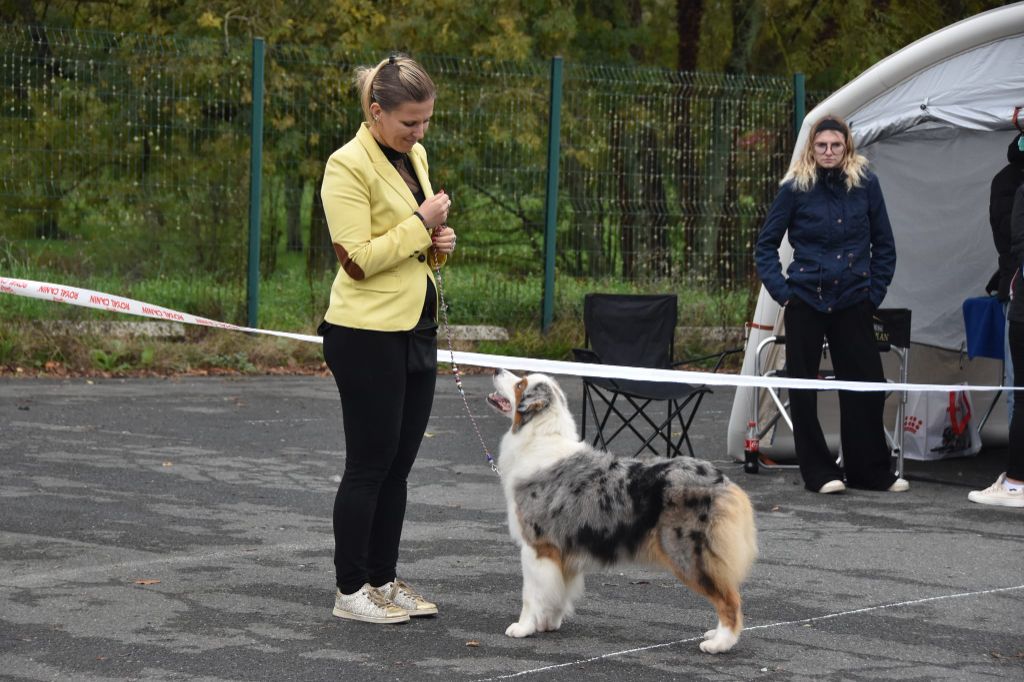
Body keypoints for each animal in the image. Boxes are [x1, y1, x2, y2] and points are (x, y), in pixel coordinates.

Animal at [486, 369, 757, 653]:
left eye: (520, 384)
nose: (496, 369)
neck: (539, 437)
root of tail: (723, 480)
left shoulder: (537, 546)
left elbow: (530, 594)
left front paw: (523, 627)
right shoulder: (562, 551)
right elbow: (556, 592)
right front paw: (547, 623)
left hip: (689, 554)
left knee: (730, 599)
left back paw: (720, 643)